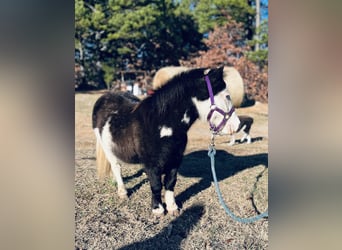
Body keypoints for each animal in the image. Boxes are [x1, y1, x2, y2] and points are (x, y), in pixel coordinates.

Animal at [92, 66, 239, 215]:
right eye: (227, 96)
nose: (236, 125)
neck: (160, 124)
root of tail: (105, 97)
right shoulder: (151, 163)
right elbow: (156, 185)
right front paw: (158, 209)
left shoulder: (175, 159)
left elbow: (170, 182)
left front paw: (172, 207)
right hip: (106, 147)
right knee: (116, 166)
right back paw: (122, 192)